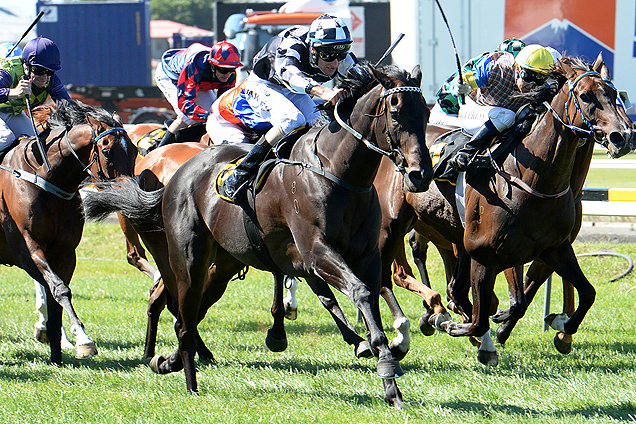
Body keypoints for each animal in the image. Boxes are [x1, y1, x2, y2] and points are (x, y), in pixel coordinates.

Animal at [0, 99, 137, 364]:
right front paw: (83, 339)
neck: (46, 178)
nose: (129, 194)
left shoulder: (65, 252)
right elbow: (57, 288)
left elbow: (57, 294)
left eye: (135, 150)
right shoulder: (28, 248)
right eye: (106, 150)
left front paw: (58, 350)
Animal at [82, 63, 432, 408]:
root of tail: (171, 174)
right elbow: (358, 293)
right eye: (396, 112)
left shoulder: (364, 256)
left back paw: (168, 360)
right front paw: (386, 362)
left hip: (222, 263)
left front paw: (390, 375)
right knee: (181, 314)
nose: (421, 174)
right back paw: (189, 382)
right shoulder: (316, 251)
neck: (337, 172)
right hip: (188, 261)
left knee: (190, 313)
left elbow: (368, 298)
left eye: (426, 113)